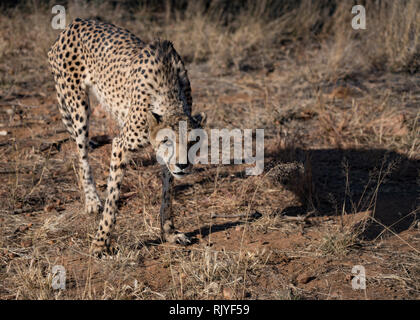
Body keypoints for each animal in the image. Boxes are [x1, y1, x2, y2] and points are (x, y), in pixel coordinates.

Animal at [47, 18, 205, 256]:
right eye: (167, 141)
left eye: (193, 142)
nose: (183, 165)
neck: (169, 97)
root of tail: (75, 23)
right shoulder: (120, 145)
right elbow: (112, 198)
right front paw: (100, 242)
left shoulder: (165, 161)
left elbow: (167, 194)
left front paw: (169, 232)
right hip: (78, 106)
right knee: (82, 155)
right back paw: (92, 200)